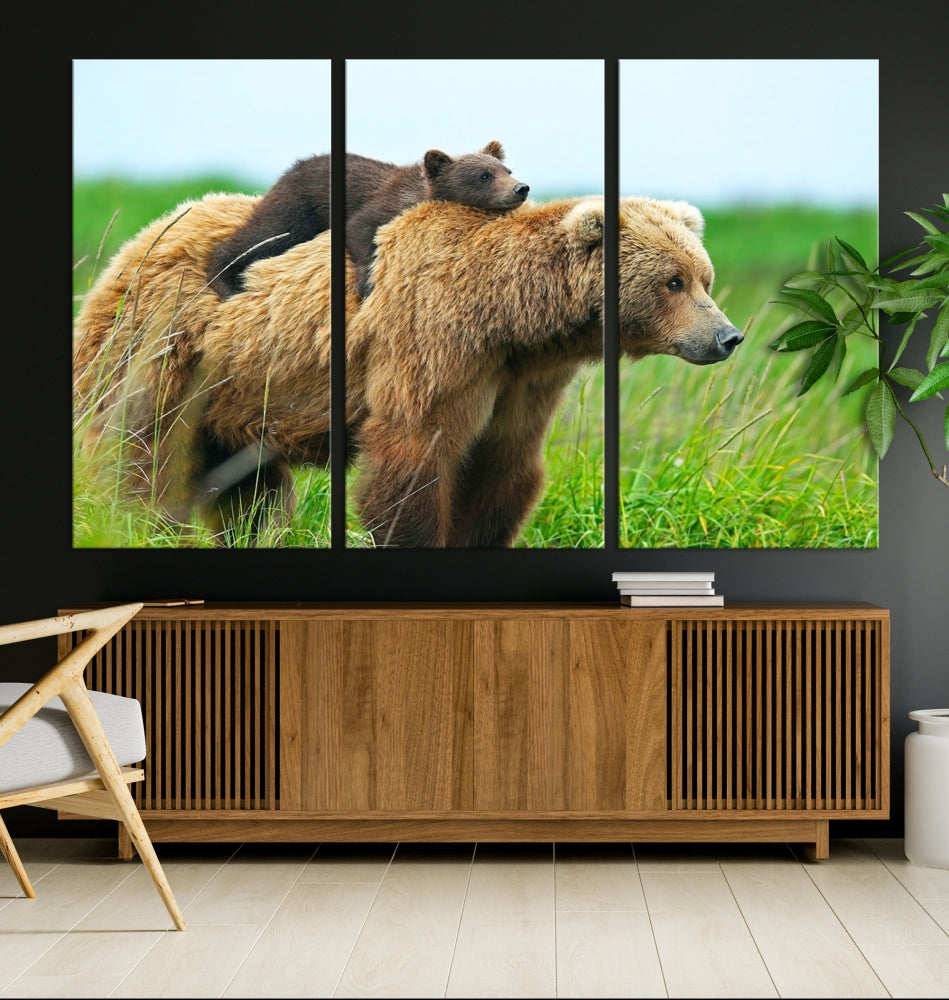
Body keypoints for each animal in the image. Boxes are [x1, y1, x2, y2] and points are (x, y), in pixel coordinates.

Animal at [73, 192, 743, 547]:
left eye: (704, 277)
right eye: (673, 281)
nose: (728, 336)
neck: (511, 319)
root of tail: (133, 243)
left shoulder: (520, 380)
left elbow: (503, 467)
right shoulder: (432, 344)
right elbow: (414, 457)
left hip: (237, 397)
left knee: (248, 488)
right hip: (162, 350)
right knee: (140, 452)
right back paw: (136, 523)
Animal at [205, 140, 530, 300]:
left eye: (506, 169)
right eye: (484, 176)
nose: (521, 188)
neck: (419, 194)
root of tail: (292, 168)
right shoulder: (382, 204)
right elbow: (360, 229)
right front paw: (366, 284)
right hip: (298, 206)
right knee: (264, 235)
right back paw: (224, 282)